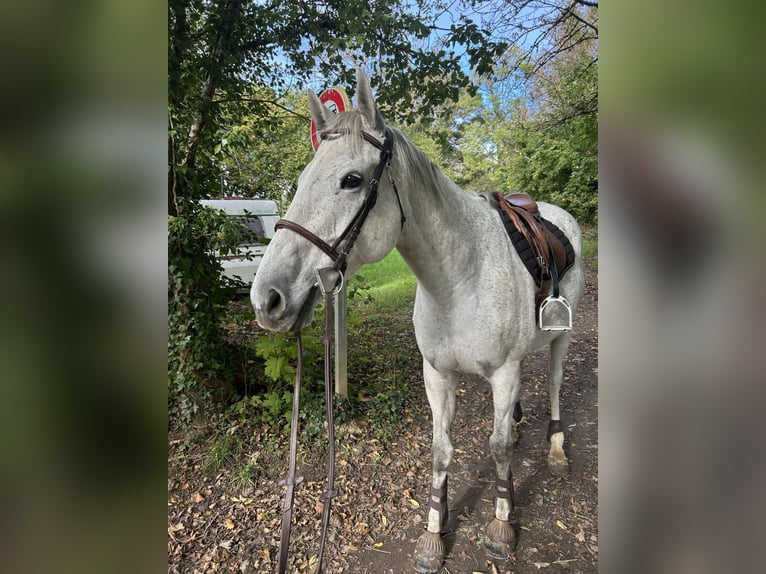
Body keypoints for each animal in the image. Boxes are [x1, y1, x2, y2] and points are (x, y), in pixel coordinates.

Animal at [251, 68, 585, 573]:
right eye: (303, 178)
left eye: (352, 179)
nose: (266, 298)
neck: (460, 279)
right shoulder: (437, 374)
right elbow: (441, 450)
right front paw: (433, 530)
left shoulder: (504, 372)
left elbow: (498, 447)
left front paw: (502, 524)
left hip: (561, 337)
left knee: (553, 383)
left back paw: (556, 449)